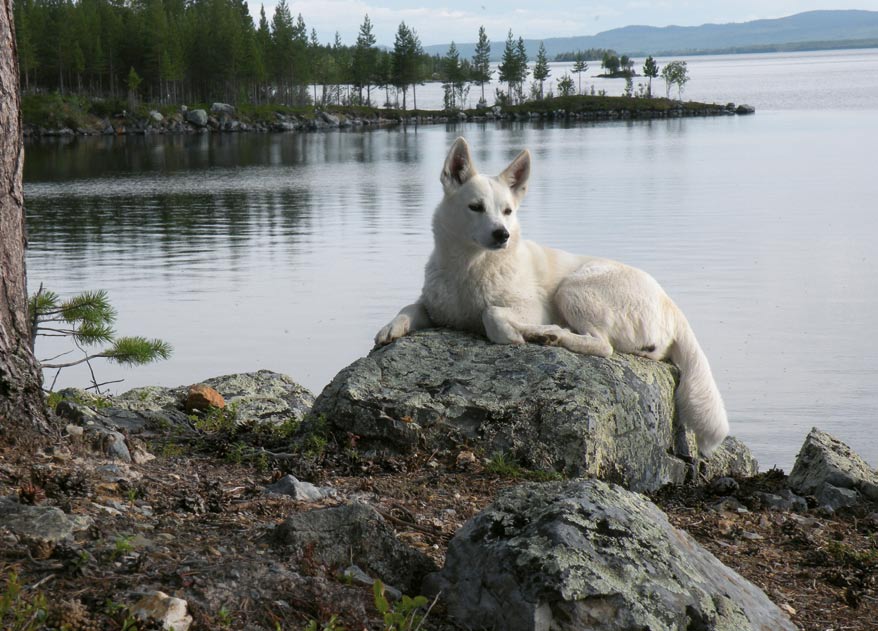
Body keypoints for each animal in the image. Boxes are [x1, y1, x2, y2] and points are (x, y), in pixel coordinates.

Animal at [376, 137, 728, 454]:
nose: (502, 234)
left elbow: (492, 313)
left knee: (602, 345)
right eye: (476, 207)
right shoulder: (436, 306)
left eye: (507, 211)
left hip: (572, 289)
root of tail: (671, 305)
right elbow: (411, 306)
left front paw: (512, 334)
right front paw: (390, 328)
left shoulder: (527, 307)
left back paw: (550, 335)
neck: (470, 265)